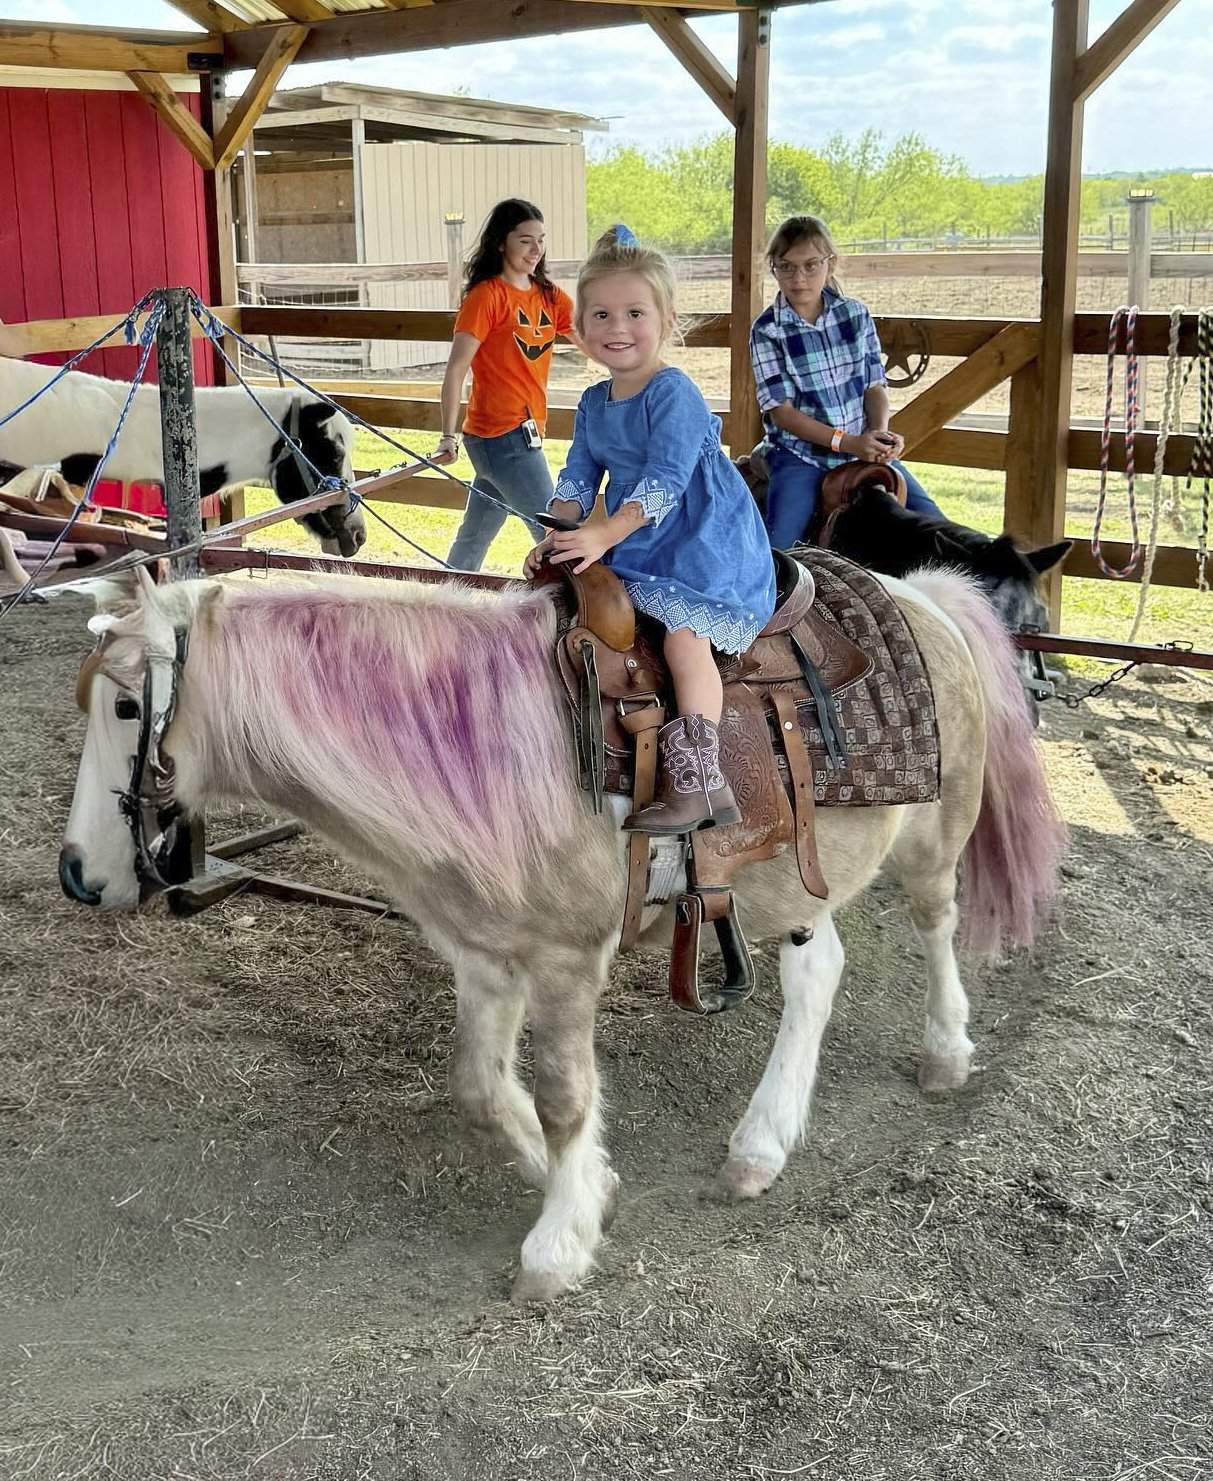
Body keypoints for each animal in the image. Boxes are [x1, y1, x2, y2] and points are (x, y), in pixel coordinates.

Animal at [60, 562, 1066, 1302]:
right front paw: (589, 1187)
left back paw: (944, 1051)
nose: (77, 873)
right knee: (817, 978)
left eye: (126, 707)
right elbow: (479, 1086)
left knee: (935, 925)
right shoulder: (483, 956)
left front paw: (557, 1242)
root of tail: (922, 592)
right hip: (793, 887)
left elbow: (564, 1095)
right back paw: (760, 1143)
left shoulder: (566, 960)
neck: (480, 748)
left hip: (933, 838)